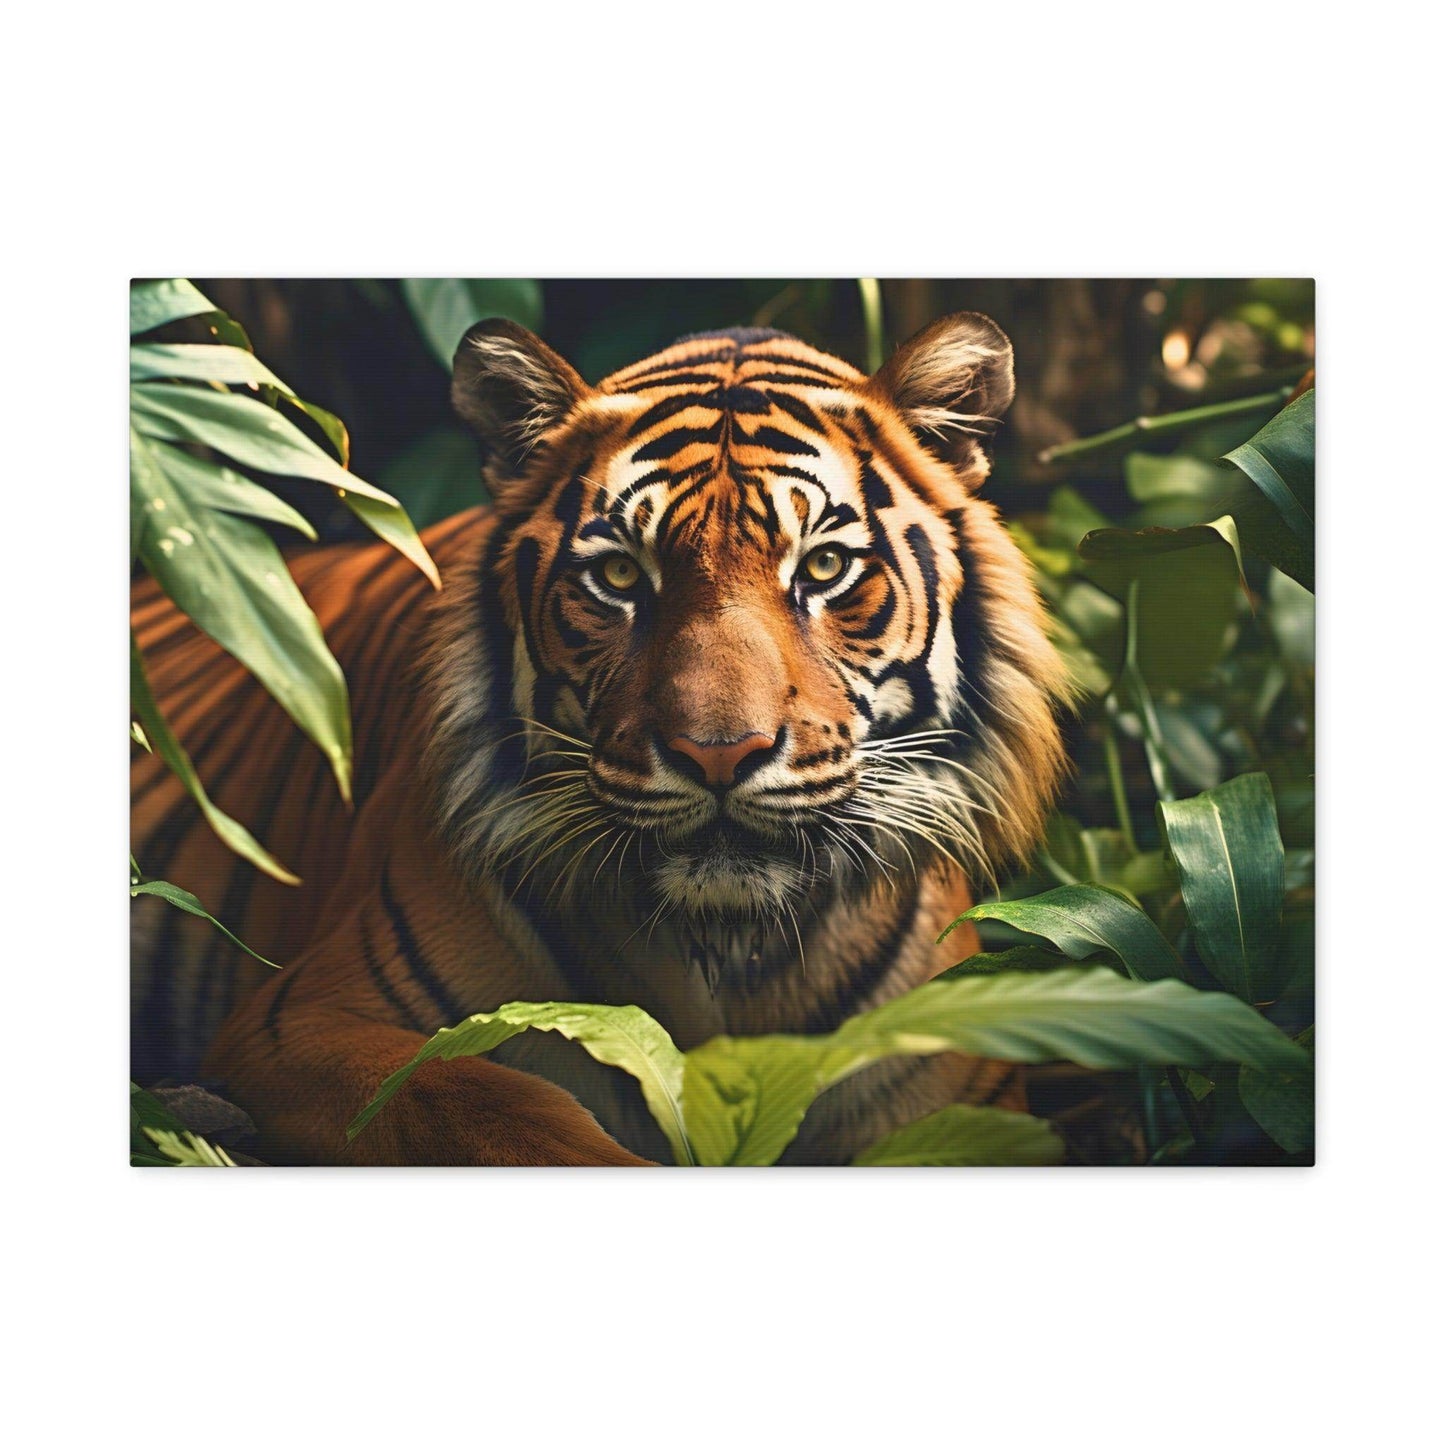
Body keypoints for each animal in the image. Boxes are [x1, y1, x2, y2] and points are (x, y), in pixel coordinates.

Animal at [130, 311, 1072, 1165]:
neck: (725, 953)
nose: (718, 753)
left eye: (824, 567)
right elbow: (493, 1107)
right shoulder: (305, 1021)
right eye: (619, 575)